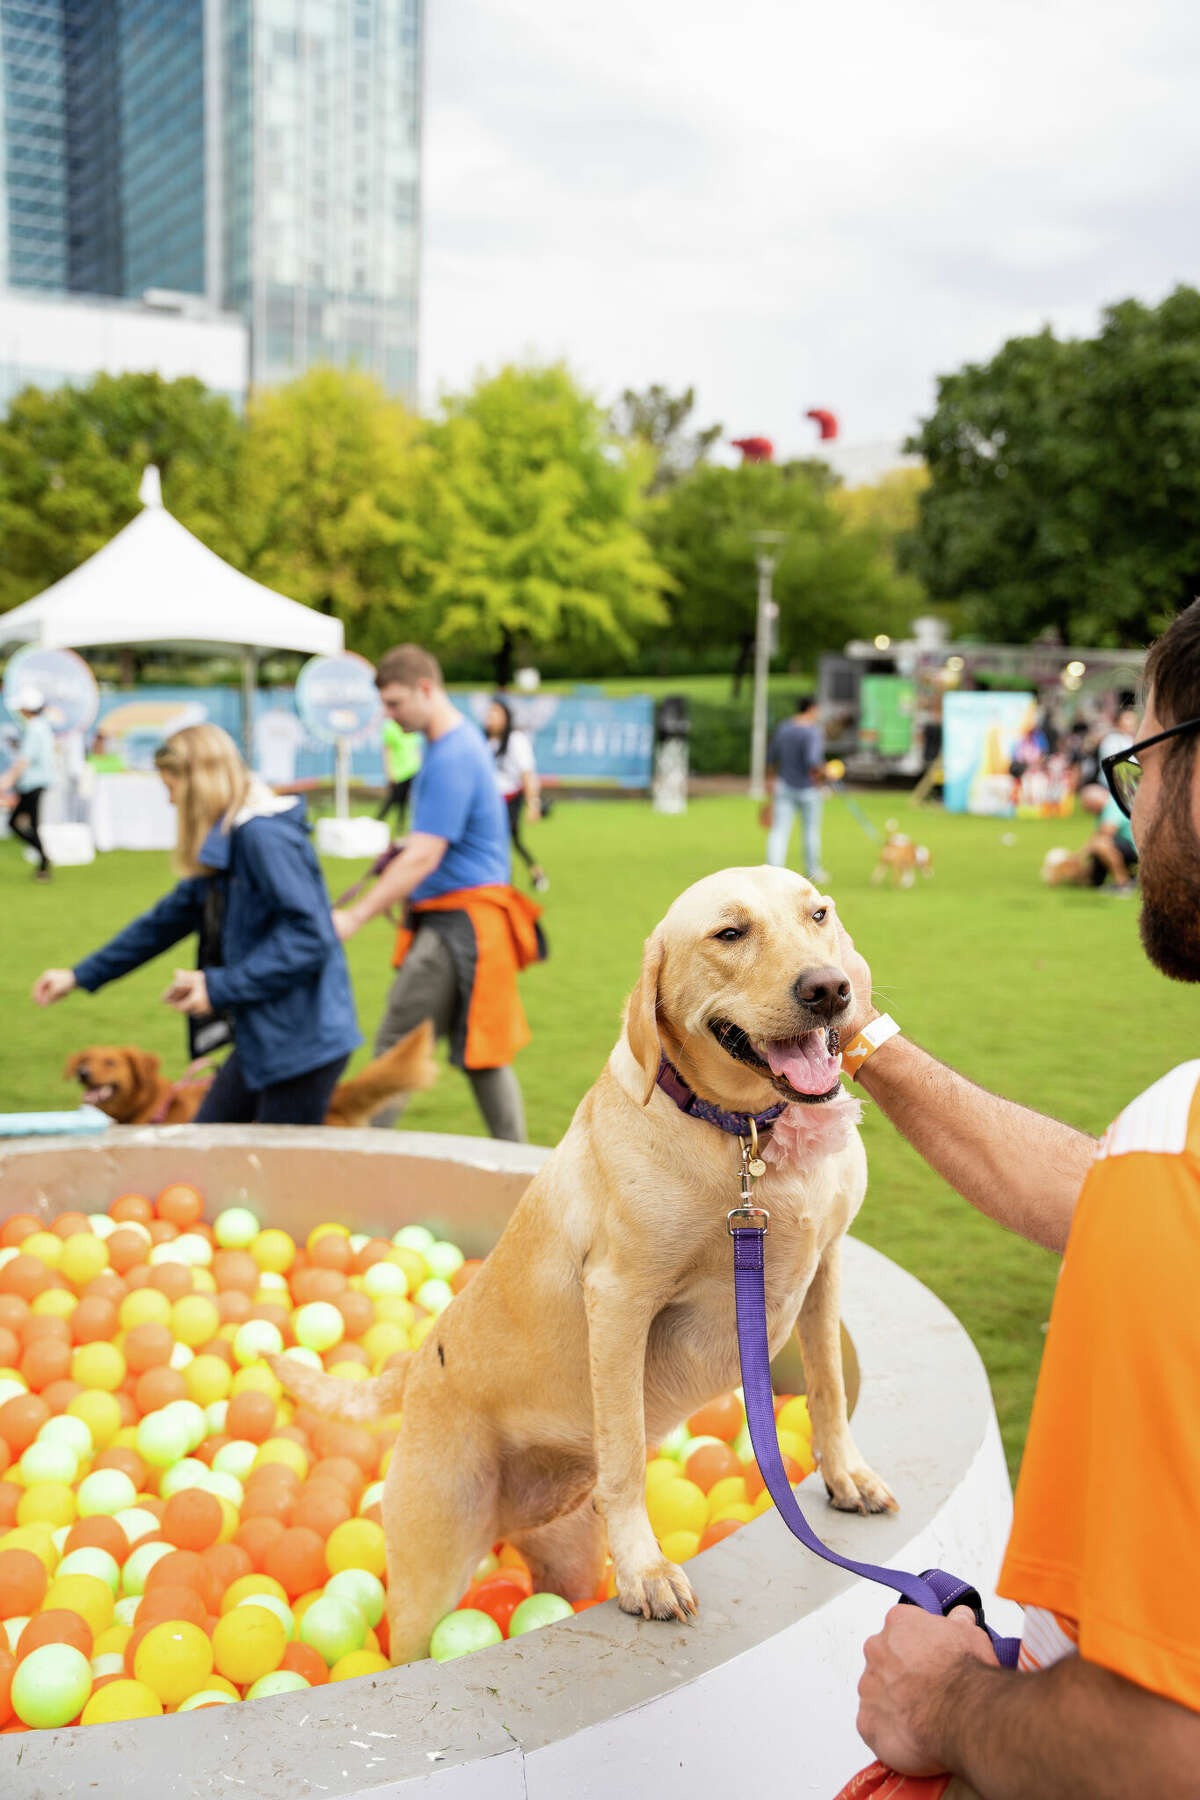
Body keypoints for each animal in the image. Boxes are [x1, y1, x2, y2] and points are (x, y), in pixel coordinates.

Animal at [269, 864, 892, 1663]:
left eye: (819, 915)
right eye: (729, 932)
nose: (829, 988)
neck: (745, 1136)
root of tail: (412, 1366)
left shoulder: (824, 1267)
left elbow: (827, 1389)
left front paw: (845, 1475)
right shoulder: (621, 1300)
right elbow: (624, 1452)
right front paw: (646, 1570)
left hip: (561, 1555)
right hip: (428, 1573)